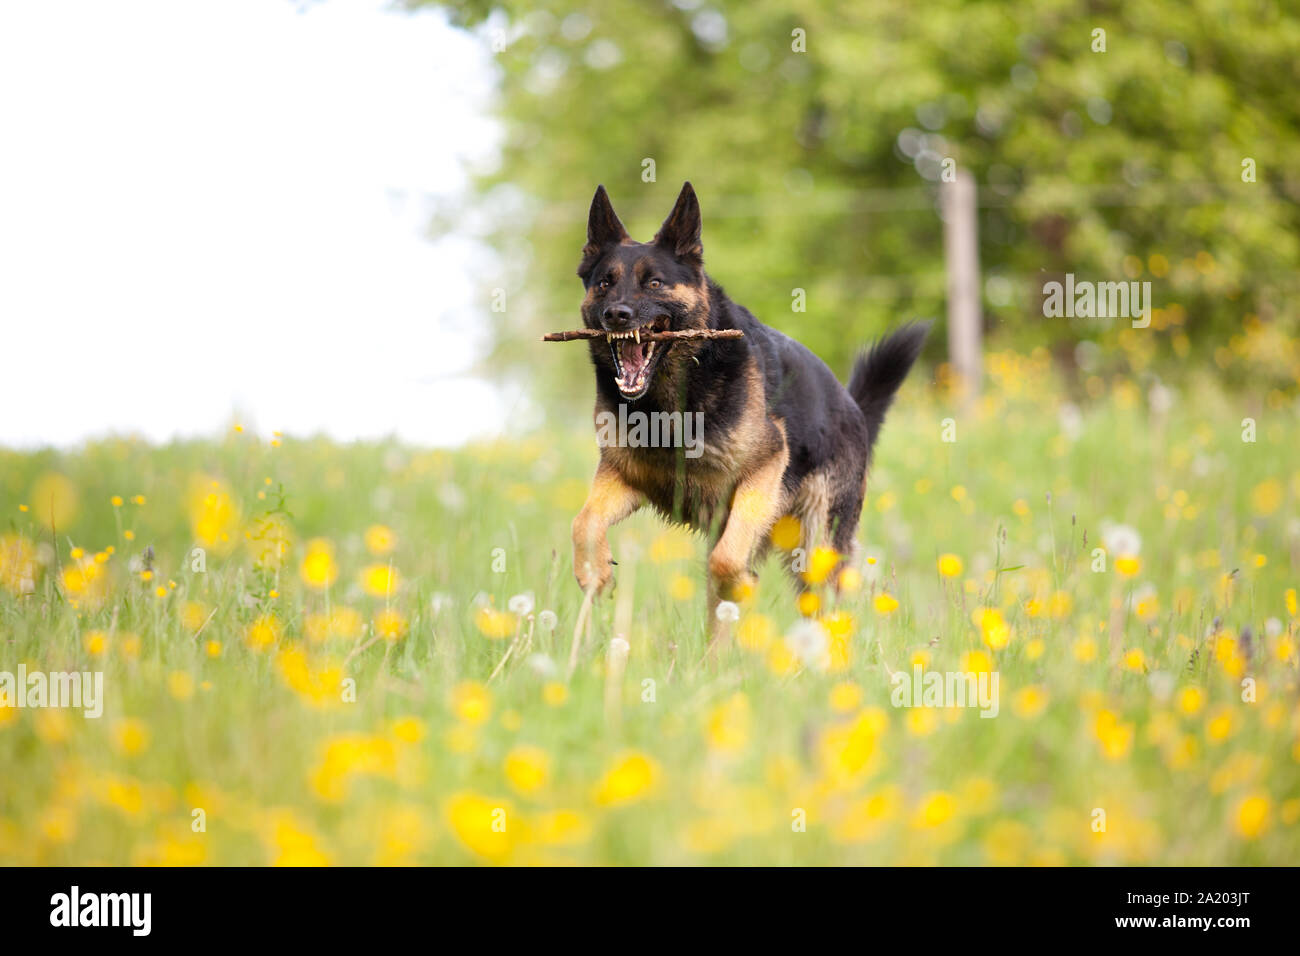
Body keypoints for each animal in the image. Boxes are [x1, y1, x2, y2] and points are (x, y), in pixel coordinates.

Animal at [574, 183, 930, 634]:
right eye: (605, 282)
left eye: (654, 282)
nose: (616, 315)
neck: (669, 405)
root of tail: (853, 408)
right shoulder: (623, 476)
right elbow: (584, 521)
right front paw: (594, 571)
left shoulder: (762, 471)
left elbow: (727, 561)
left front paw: (740, 583)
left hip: (815, 549)